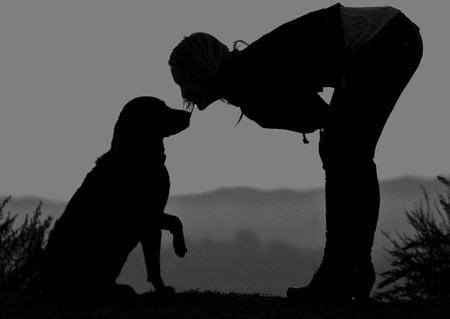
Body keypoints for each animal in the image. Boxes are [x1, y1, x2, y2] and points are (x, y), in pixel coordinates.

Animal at [41, 96, 191, 298]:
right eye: (161, 109)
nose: (188, 114)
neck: (137, 155)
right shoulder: (147, 217)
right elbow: (171, 229)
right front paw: (177, 251)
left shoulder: (153, 219)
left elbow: (159, 253)